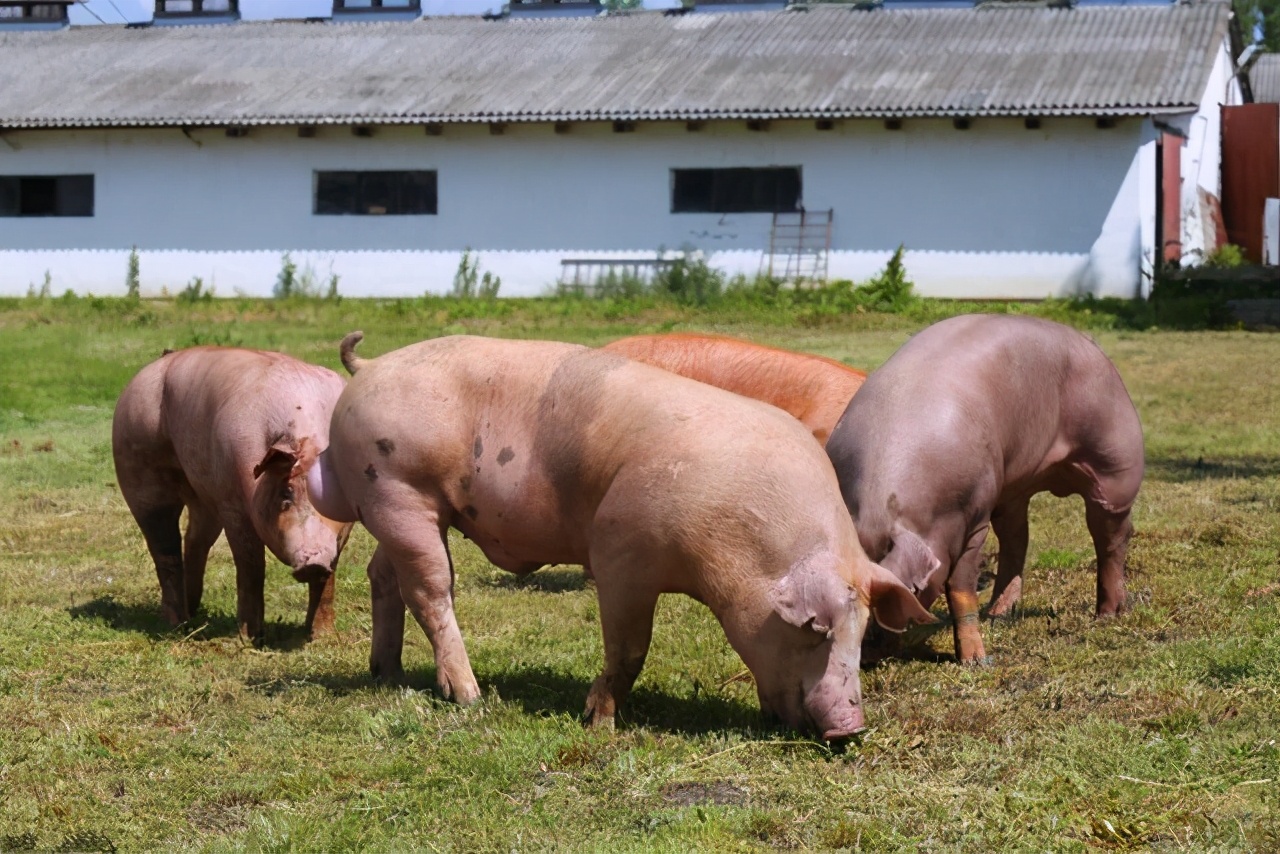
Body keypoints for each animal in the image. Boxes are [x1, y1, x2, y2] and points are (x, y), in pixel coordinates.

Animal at [112, 347, 353, 643]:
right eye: (286, 493)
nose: (314, 562)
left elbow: (329, 576)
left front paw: (323, 638)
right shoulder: (233, 504)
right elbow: (251, 565)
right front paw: (250, 639)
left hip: (203, 495)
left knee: (195, 541)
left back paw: (193, 610)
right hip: (138, 467)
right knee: (164, 548)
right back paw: (178, 625)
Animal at [825, 314, 1144, 663]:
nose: (863, 654)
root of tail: (1091, 345)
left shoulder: (974, 518)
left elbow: (960, 587)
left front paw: (975, 662)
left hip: (1116, 467)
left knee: (1111, 538)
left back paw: (1108, 615)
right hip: (1012, 488)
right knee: (1017, 539)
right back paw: (999, 614)